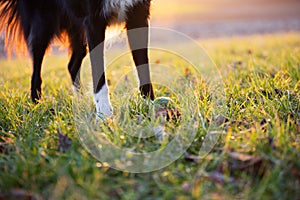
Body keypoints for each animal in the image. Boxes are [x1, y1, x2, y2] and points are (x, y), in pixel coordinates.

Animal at [0, 0, 155, 117]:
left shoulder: (138, 15)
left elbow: (144, 68)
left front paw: (151, 107)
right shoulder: (94, 21)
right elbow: (99, 74)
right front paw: (104, 114)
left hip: (78, 31)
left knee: (72, 66)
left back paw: (81, 101)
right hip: (43, 24)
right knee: (36, 69)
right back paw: (35, 103)